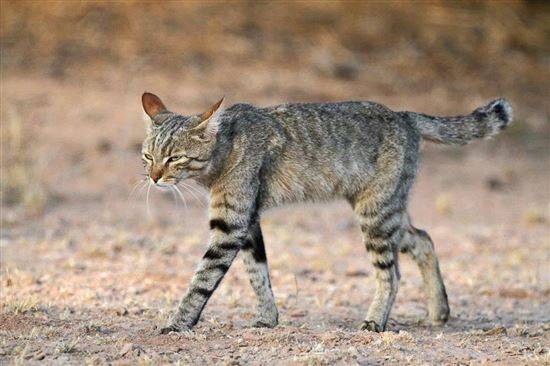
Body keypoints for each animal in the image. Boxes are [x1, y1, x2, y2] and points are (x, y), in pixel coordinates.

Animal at [139, 91, 512, 332]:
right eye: (148, 156)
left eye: (174, 158)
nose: (154, 177)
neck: (224, 149)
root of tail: (404, 114)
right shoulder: (248, 223)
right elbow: (258, 273)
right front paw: (269, 318)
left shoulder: (231, 225)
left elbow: (203, 279)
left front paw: (178, 322)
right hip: (388, 212)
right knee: (424, 239)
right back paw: (439, 311)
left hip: (376, 216)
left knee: (392, 273)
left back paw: (376, 320)